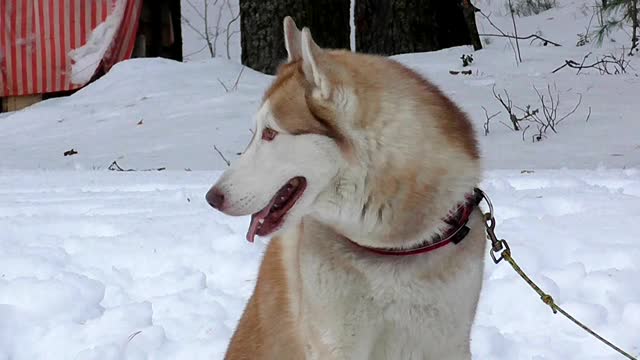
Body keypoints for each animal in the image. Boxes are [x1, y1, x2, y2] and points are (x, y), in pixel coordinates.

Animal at [206, 16, 484, 360]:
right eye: (256, 132)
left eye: (269, 133)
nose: (212, 197)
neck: (393, 246)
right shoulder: (337, 343)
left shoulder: (448, 340)